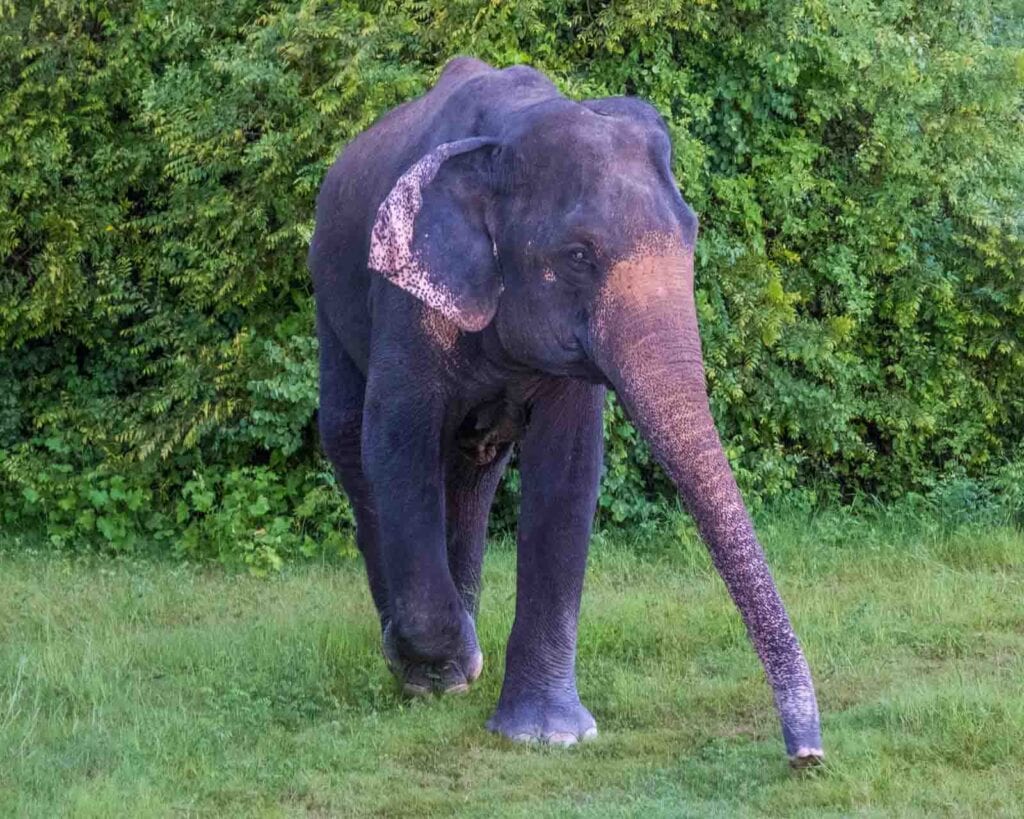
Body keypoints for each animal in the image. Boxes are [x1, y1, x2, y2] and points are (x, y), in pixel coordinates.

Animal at [308, 57, 823, 765]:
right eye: (579, 256)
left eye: (692, 234)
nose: (807, 757)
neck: (507, 135)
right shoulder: (404, 299)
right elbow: (394, 439)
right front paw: (445, 670)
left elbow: (571, 470)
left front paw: (547, 734)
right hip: (326, 290)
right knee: (351, 441)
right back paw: (434, 660)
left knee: (474, 466)